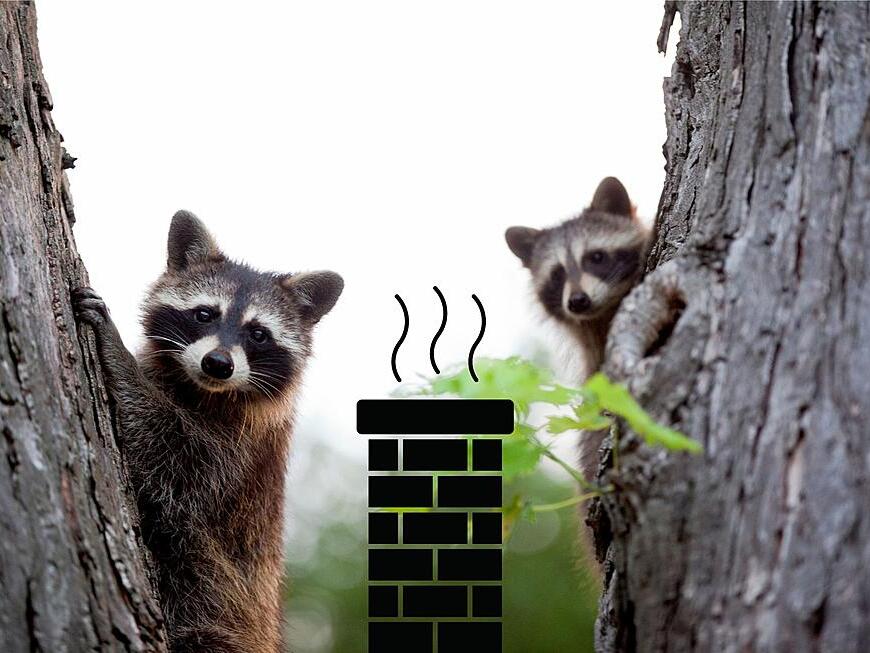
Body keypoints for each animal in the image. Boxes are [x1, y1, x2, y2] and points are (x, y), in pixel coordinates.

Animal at [73, 211, 343, 653]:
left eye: (258, 334)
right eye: (204, 314)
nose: (218, 364)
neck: (202, 388)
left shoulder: (239, 452)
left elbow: (169, 451)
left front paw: (117, 353)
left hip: (217, 601)